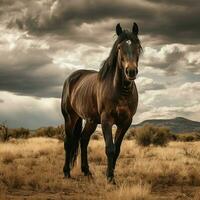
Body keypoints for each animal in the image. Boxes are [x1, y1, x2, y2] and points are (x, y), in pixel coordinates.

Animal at [61, 22, 142, 184]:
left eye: (137, 46)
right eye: (119, 47)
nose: (131, 71)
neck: (121, 91)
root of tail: (70, 78)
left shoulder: (125, 122)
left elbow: (117, 149)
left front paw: (111, 175)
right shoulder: (106, 120)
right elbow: (109, 148)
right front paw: (110, 178)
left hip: (90, 121)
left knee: (83, 140)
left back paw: (86, 172)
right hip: (70, 118)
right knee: (69, 142)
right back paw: (66, 172)